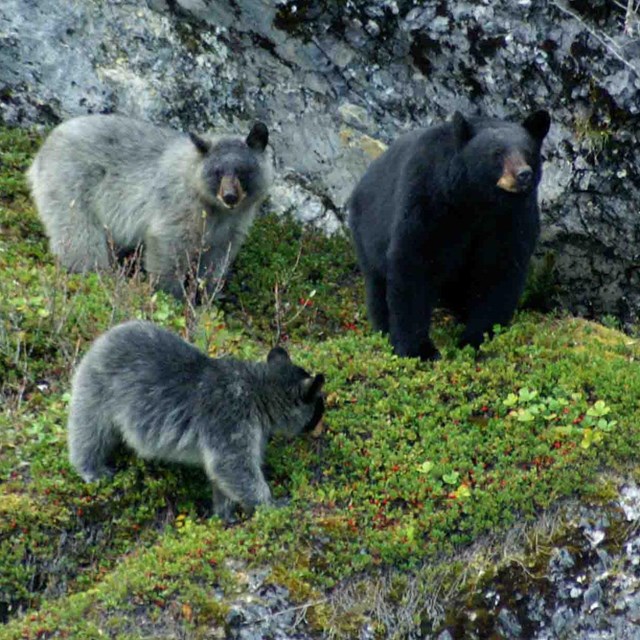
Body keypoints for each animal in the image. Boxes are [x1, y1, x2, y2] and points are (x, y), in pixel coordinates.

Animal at [27, 115, 274, 298]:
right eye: (217, 172)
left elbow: (217, 258)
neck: (215, 208)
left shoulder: (233, 225)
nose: (230, 196)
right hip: (70, 187)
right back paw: (93, 273)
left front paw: (207, 295)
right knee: (79, 235)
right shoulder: (180, 204)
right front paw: (171, 293)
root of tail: (44, 147)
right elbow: (169, 243)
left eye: (243, 171)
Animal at [67, 320, 324, 520]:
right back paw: (91, 468)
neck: (259, 393)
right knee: (89, 431)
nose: (320, 428)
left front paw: (224, 513)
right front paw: (271, 504)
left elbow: (223, 474)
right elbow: (233, 466)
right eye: (319, 406)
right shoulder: (231, 419)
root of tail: (102, 339)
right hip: (96, 392)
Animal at [348, 110, 552, 360]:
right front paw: (418, 349)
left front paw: (476, 339)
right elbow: (414, 261)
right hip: (368, 234)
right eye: (496, 153)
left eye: (527, 152)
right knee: (378, 286)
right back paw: (384, 331)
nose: (524, 174)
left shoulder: (511, 218)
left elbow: (499, 270)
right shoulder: (429, 198)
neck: (477, 200)